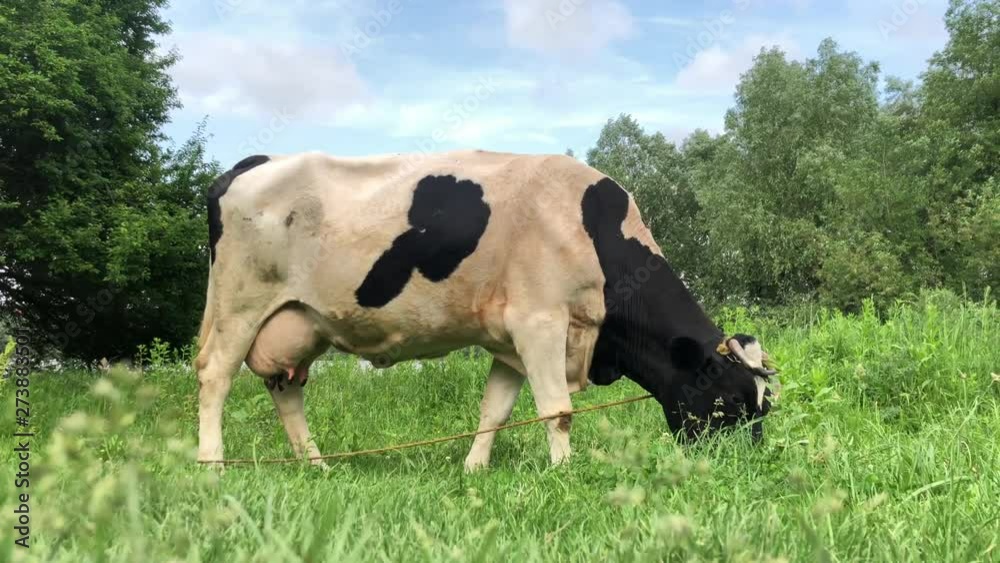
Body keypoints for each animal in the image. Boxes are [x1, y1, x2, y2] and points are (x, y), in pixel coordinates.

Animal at [194, 150, 776, 470]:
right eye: (732, 399)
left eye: (764, 404)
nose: (749, 460)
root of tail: (253, 163)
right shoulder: (540, 321)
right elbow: (558, 409)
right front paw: (566, 472)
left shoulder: (509, 339)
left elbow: (493, 410)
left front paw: (474, 469)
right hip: (239, 303)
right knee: (215, 376)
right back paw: (213, 465)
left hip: (297, 322)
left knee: (286, 391)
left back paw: (315, 466)